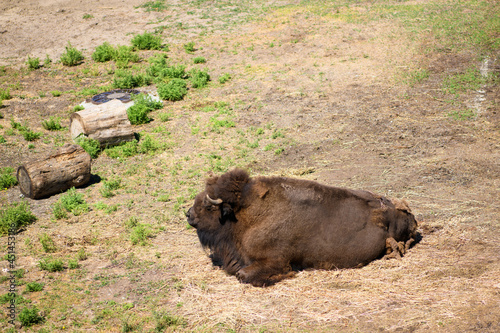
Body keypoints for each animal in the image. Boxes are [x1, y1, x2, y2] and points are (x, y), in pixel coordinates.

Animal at [186, 169, 416, 286]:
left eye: (208, 206)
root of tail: (409, 213)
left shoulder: (275, 260)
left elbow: (243, 274)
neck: (245, 214)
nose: (188, 214)